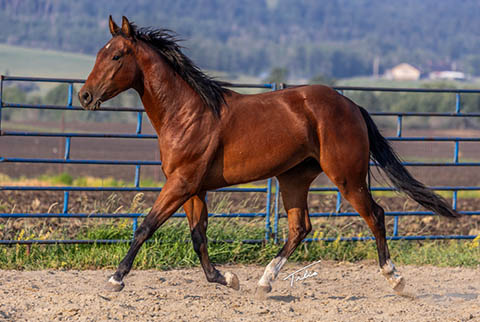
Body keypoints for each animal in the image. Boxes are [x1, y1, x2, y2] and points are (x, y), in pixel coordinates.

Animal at [78, 16, 458, 296]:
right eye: (98, 53)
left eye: (115, 56)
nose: (84, 96)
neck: (187, 112)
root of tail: (351, 105)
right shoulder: (193, 188)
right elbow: (198, 237)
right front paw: (227, 279)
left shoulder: (182, 183)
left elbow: (146, 226)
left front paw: (115, 279)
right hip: (293, 178)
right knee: (300, 228)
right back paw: (264, 282)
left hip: (347, 178)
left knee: (375, 215)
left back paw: (395, 279)